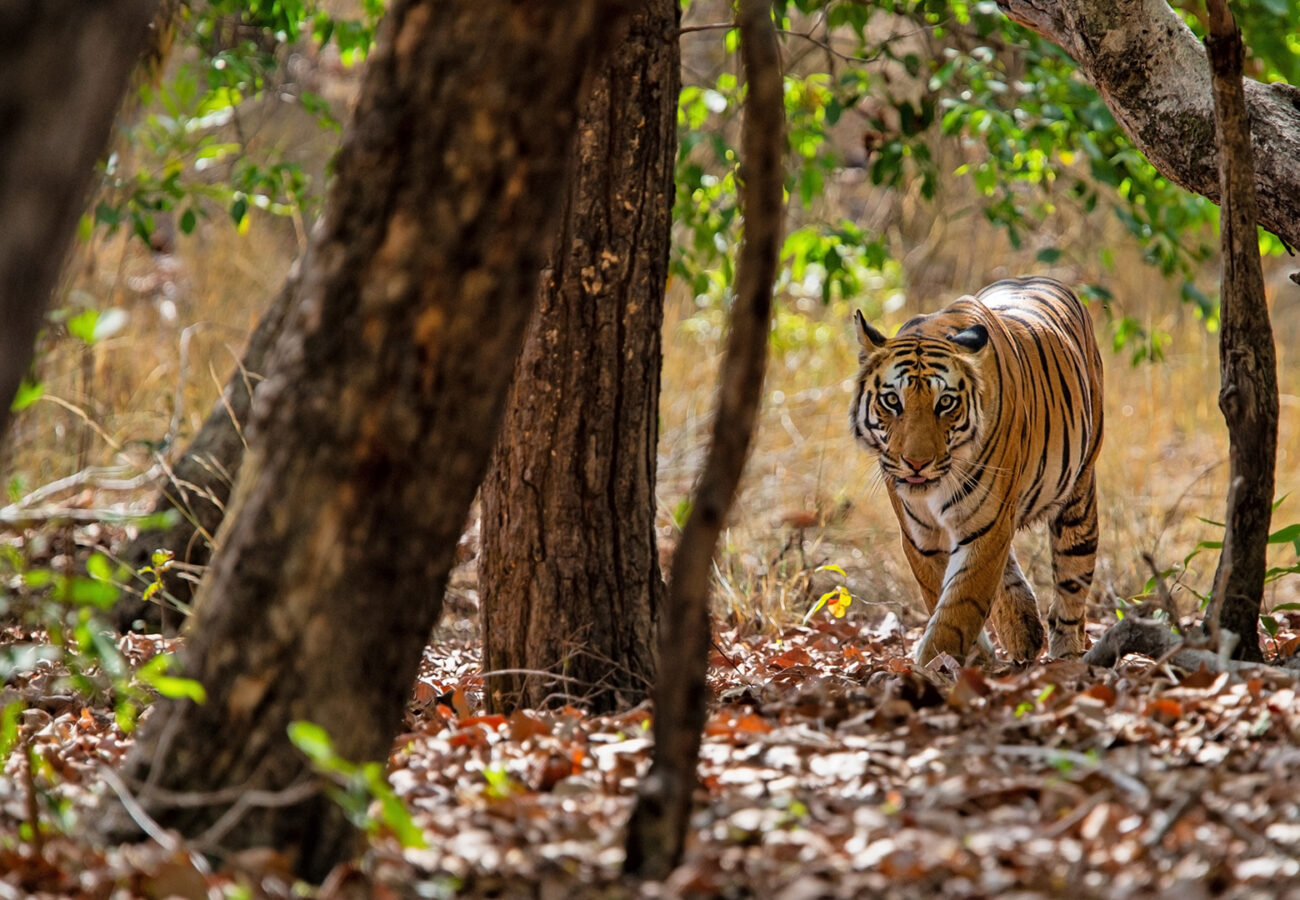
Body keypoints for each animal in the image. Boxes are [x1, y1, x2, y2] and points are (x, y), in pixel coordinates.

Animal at [849, 276, 1104, 666]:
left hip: (1078, 496)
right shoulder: (922, 538)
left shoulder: (987, 524)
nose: (917, 463)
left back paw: (1065, 652)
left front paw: (934, 662)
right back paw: (1023, 630)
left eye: (945, 403)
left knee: (1072, 579)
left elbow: (959, 606)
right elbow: (945, 595)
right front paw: (969, 658)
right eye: (892, 400)